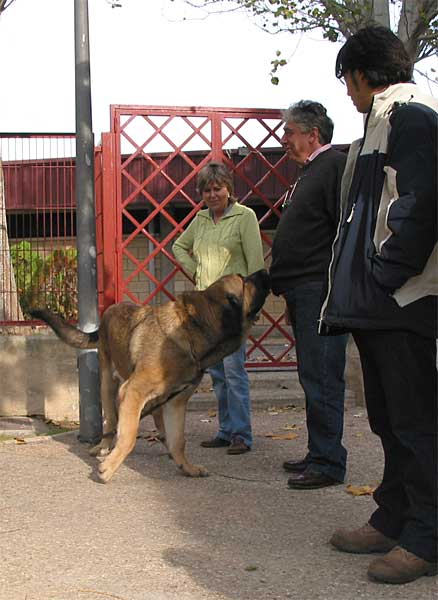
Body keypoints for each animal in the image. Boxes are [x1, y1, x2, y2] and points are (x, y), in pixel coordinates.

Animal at [30, 270, 268, 482]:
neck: (191, 333)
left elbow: (178, 440)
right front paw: (109, 467)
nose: (265, 271)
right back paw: (104, 446)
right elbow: (128, 436)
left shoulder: (176, 402)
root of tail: (110, 309)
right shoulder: (133, 391)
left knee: (154, 417)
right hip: (108, 384)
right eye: (243, 280)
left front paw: (186, 467)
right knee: (111, 422)